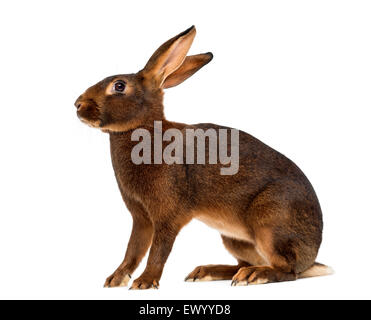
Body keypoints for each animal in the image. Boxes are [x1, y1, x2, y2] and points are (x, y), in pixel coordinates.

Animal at [75, 26, 332, 288]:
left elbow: (158, 250)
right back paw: (207, 272)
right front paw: (115, 279)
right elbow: (133, 250)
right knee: (246, 263)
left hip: (270, 223)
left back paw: (254, 275)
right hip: (234, 239)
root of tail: (311, 257)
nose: (77, 104)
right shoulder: (141, 218)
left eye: (119, 86)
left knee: (287, 270)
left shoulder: (167, 216)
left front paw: (144, 282)